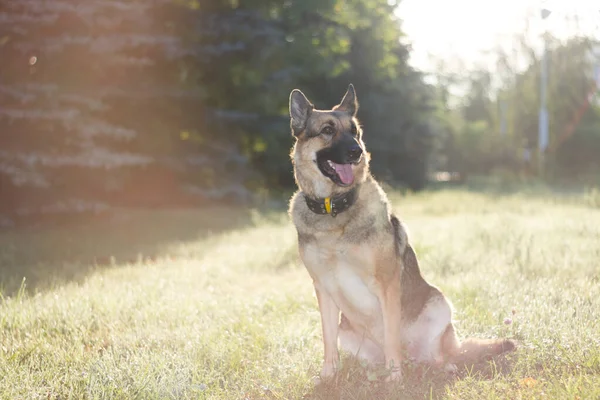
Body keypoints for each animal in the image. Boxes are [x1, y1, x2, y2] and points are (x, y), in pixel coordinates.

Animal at [288, 83, 512, 382]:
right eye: (327, 130)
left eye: (354, 131)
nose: (357, 152)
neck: (334, 211)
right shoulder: (323, 289)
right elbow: (327, 339)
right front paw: (328, 375)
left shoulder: (387, 284)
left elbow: (391, 335)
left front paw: (394, 378)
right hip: (349, 332)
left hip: (439, 304)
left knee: (440, 354)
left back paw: (437, 366)